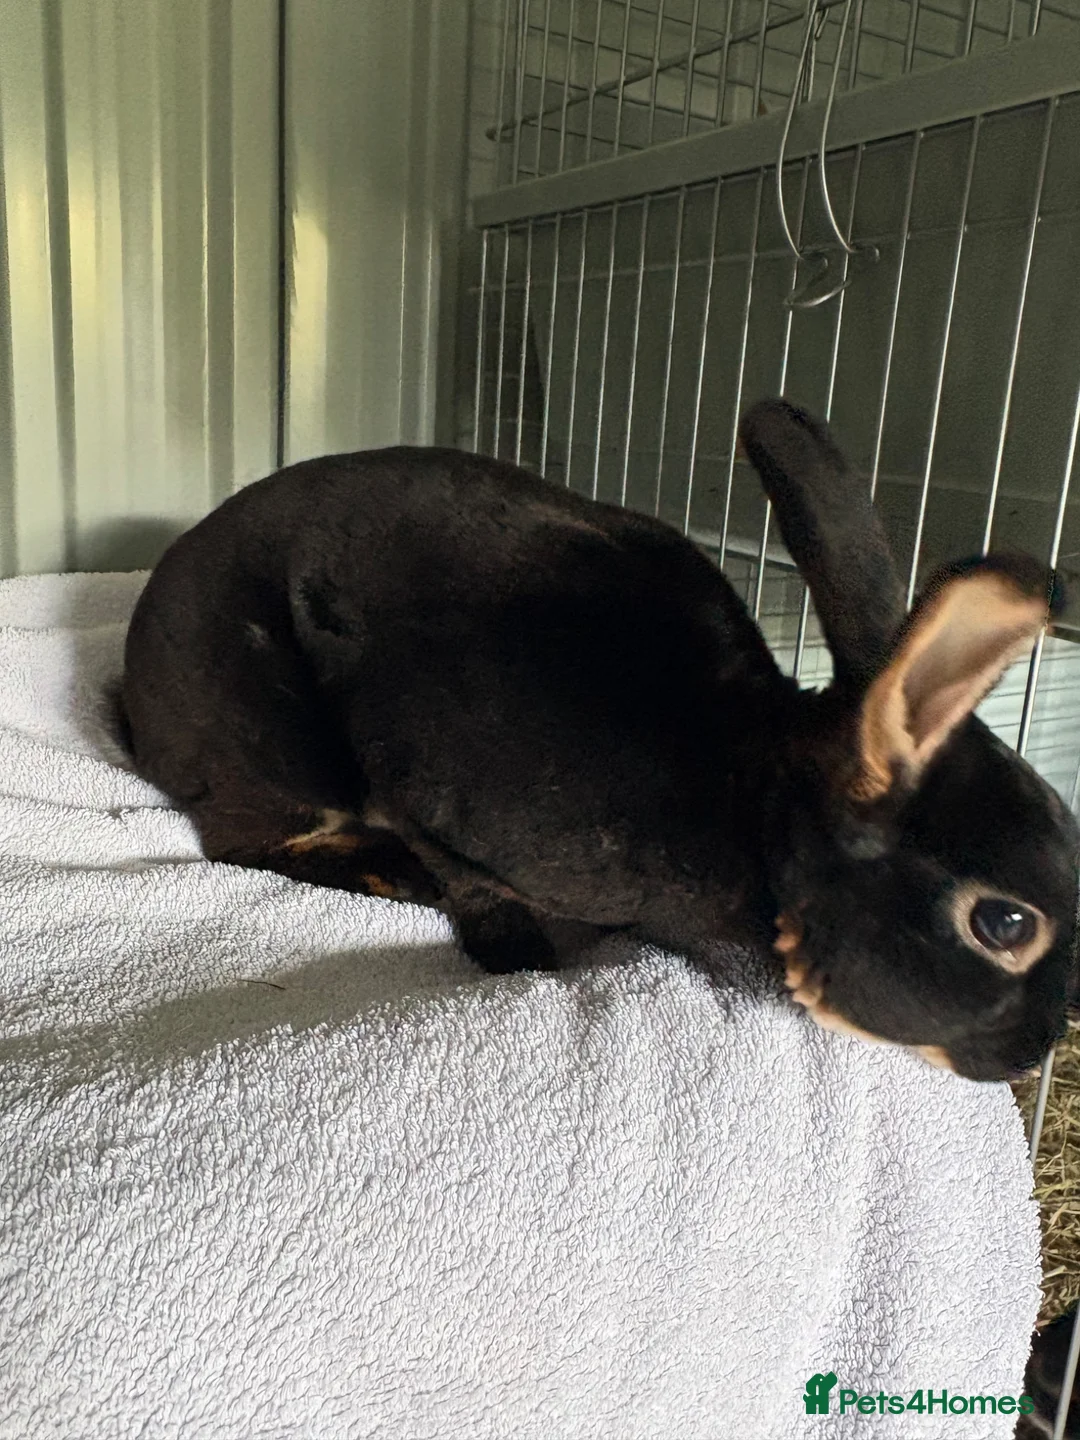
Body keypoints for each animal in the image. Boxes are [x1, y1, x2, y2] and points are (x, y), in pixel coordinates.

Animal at [121, 397, 1080, 1082]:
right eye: (1003, 922)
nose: (1031, 1054)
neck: (754, 790)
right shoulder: (433, 807)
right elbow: (475, 891)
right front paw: (519, 963)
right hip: (274, 750)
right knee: (247, 841)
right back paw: (383, 874)